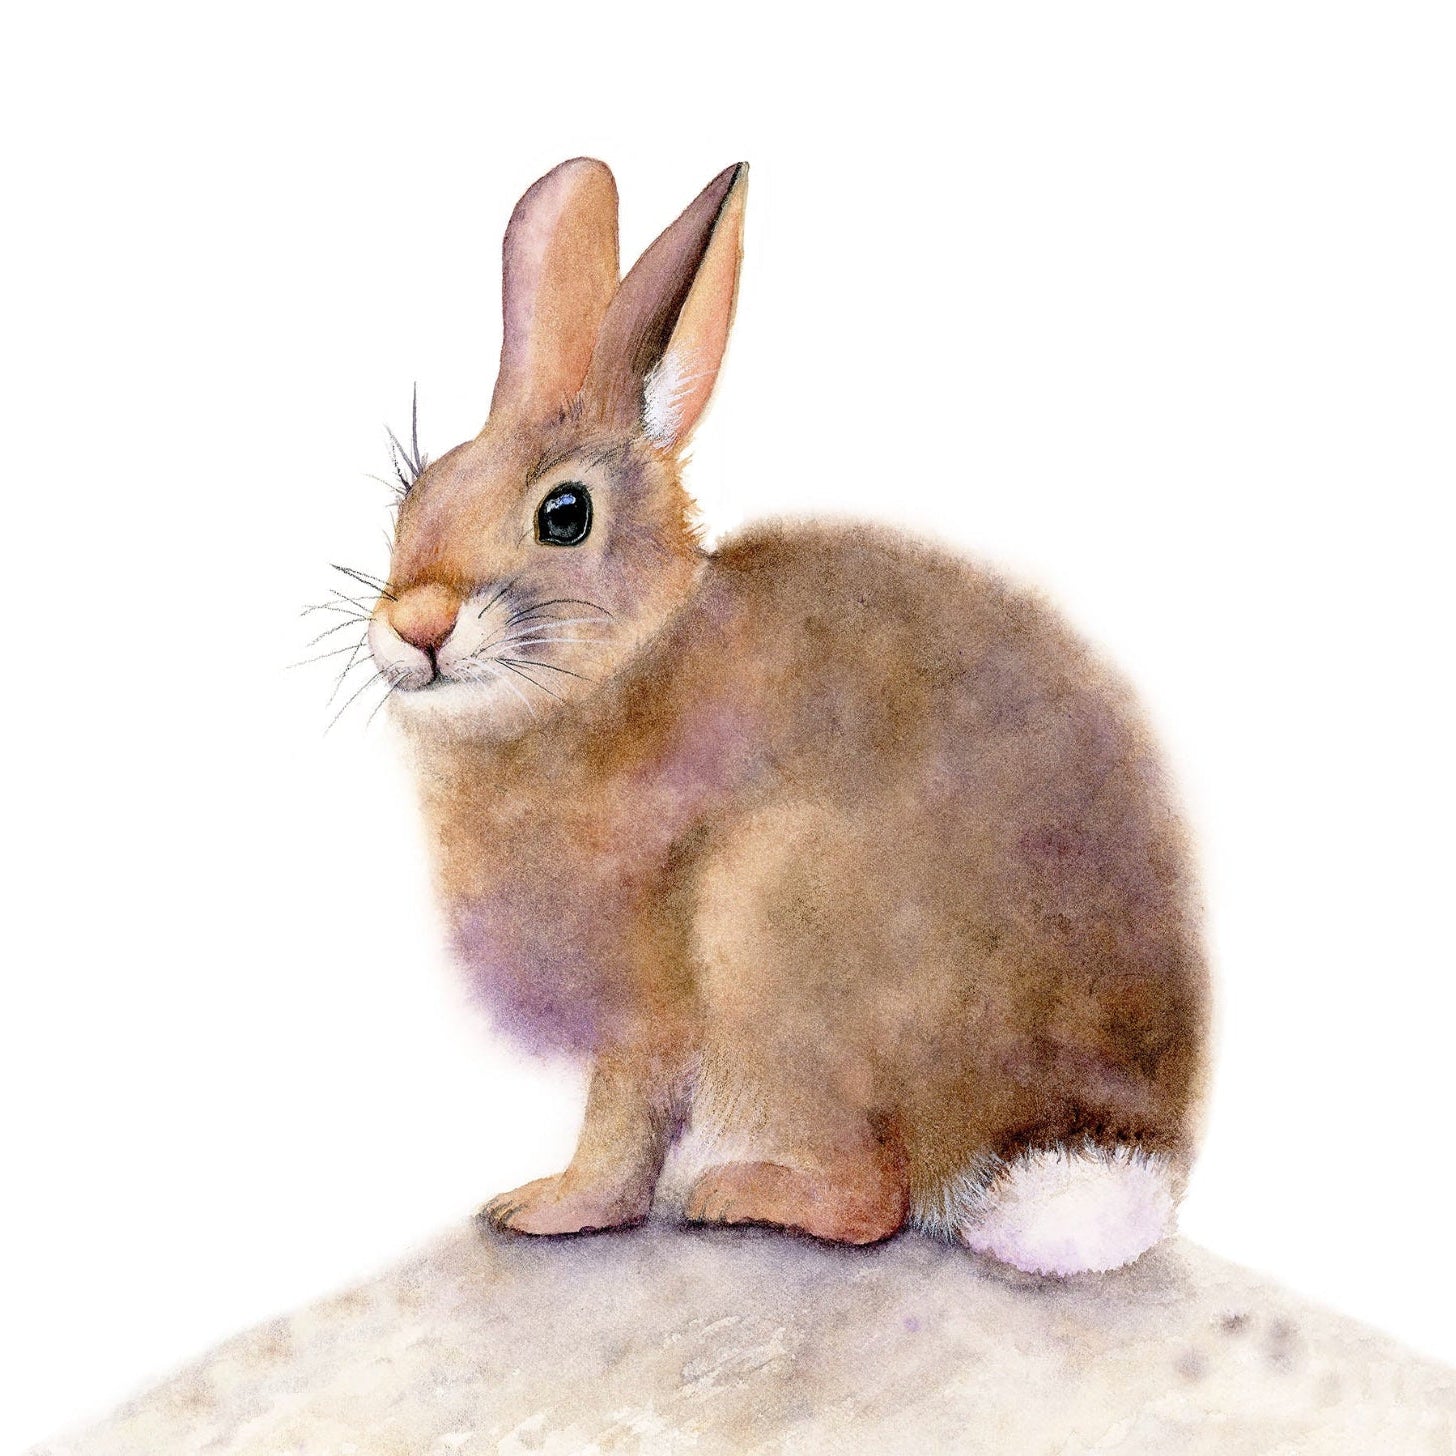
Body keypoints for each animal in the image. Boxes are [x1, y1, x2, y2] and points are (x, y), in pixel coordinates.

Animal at [362, 158, 1210, 1275]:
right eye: (413, 496)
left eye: (564, 515)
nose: (414, 622)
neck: (623, 667)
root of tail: (1096, 1160)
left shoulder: (647, 1000)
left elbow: (620, 1125)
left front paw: (551, 1208)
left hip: (765, 916)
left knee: (876, 1199)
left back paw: (740, 1195)